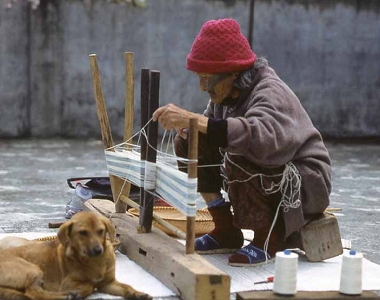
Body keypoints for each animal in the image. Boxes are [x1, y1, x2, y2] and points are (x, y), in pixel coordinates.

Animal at [0, 211, 151, 300]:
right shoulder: (68, 282)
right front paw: (78, 292)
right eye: (83, 233)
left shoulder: (108, 283)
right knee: (33, 293)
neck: (95, 261)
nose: (98, 250)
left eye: (101, 231)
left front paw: (138, 293)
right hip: (32, 268)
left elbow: (126, 287)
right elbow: (89, 285)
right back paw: (65, 296)